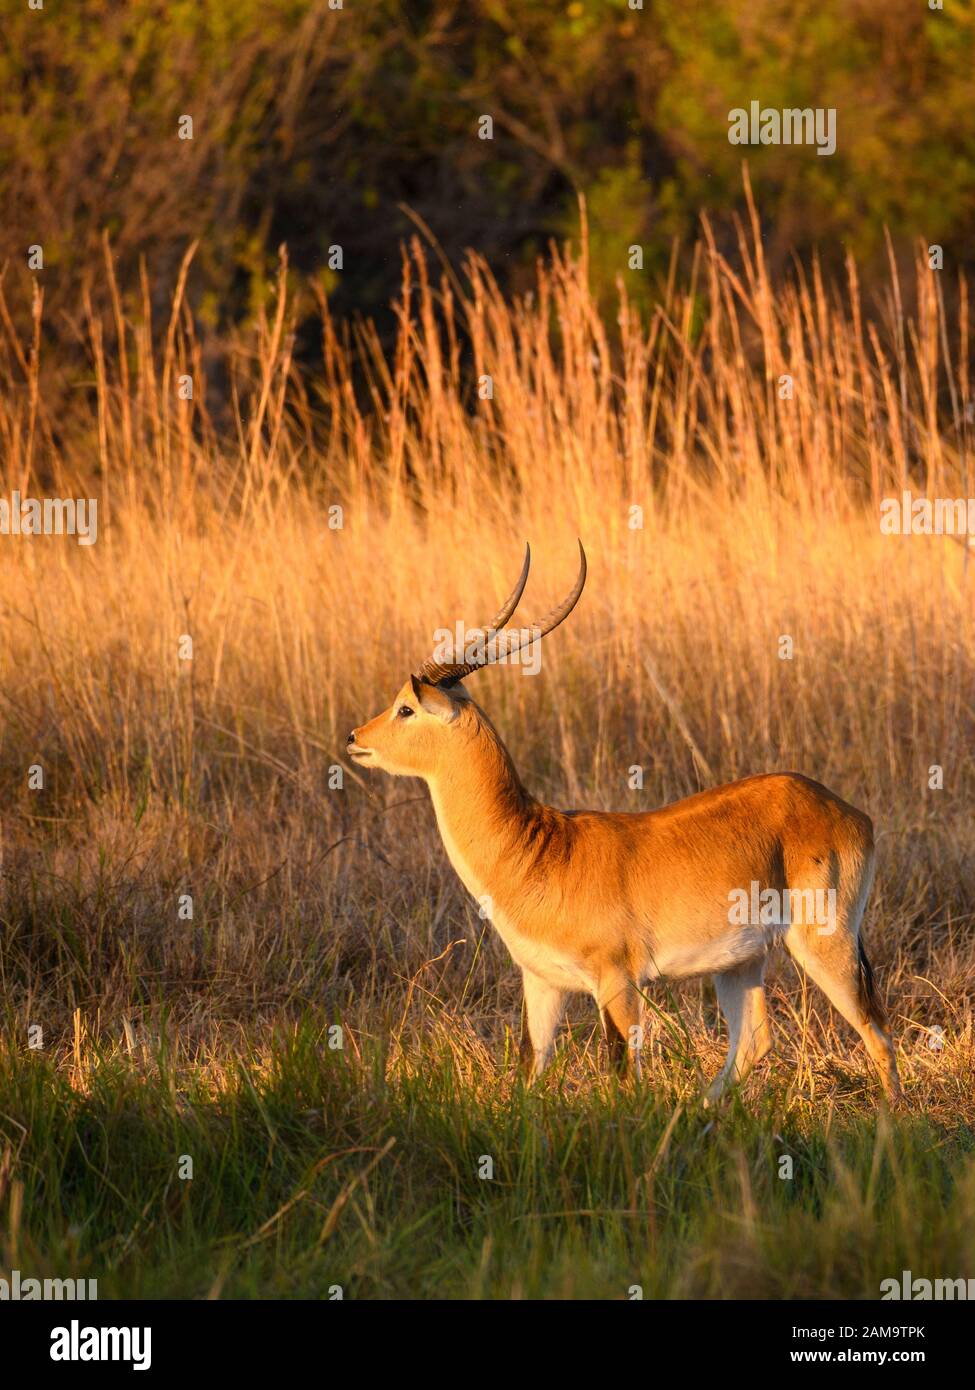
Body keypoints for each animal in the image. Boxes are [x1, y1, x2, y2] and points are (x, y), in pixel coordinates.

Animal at [346, 547, 901, 1100]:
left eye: (406, 708)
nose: (354, 737)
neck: (539, 850)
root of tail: (846, 810)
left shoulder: (618, 979)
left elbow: (621, 1076)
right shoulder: (542, 982)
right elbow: (530, 1068)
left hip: (823, 940)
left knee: (876, 1030)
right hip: (740, 960)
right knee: (754, 1040)